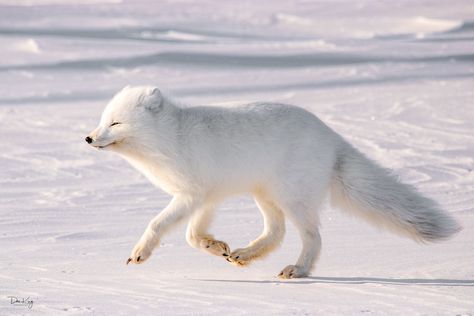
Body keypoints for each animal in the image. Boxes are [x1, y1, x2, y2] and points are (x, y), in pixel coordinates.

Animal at [86, 85, 462, 278]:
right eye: (103, 120)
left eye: (115, 123)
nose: (88, 138)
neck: (171, 139)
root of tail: (332, 136)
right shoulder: (207, 196)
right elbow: (193, 236)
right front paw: (216, 247)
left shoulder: (191, 194)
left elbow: (157, 224)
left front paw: (140, 253)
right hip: (264, 195)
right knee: (276, 232)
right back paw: (245, 255)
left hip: (293, 199)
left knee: (312, 237)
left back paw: (299, 269)